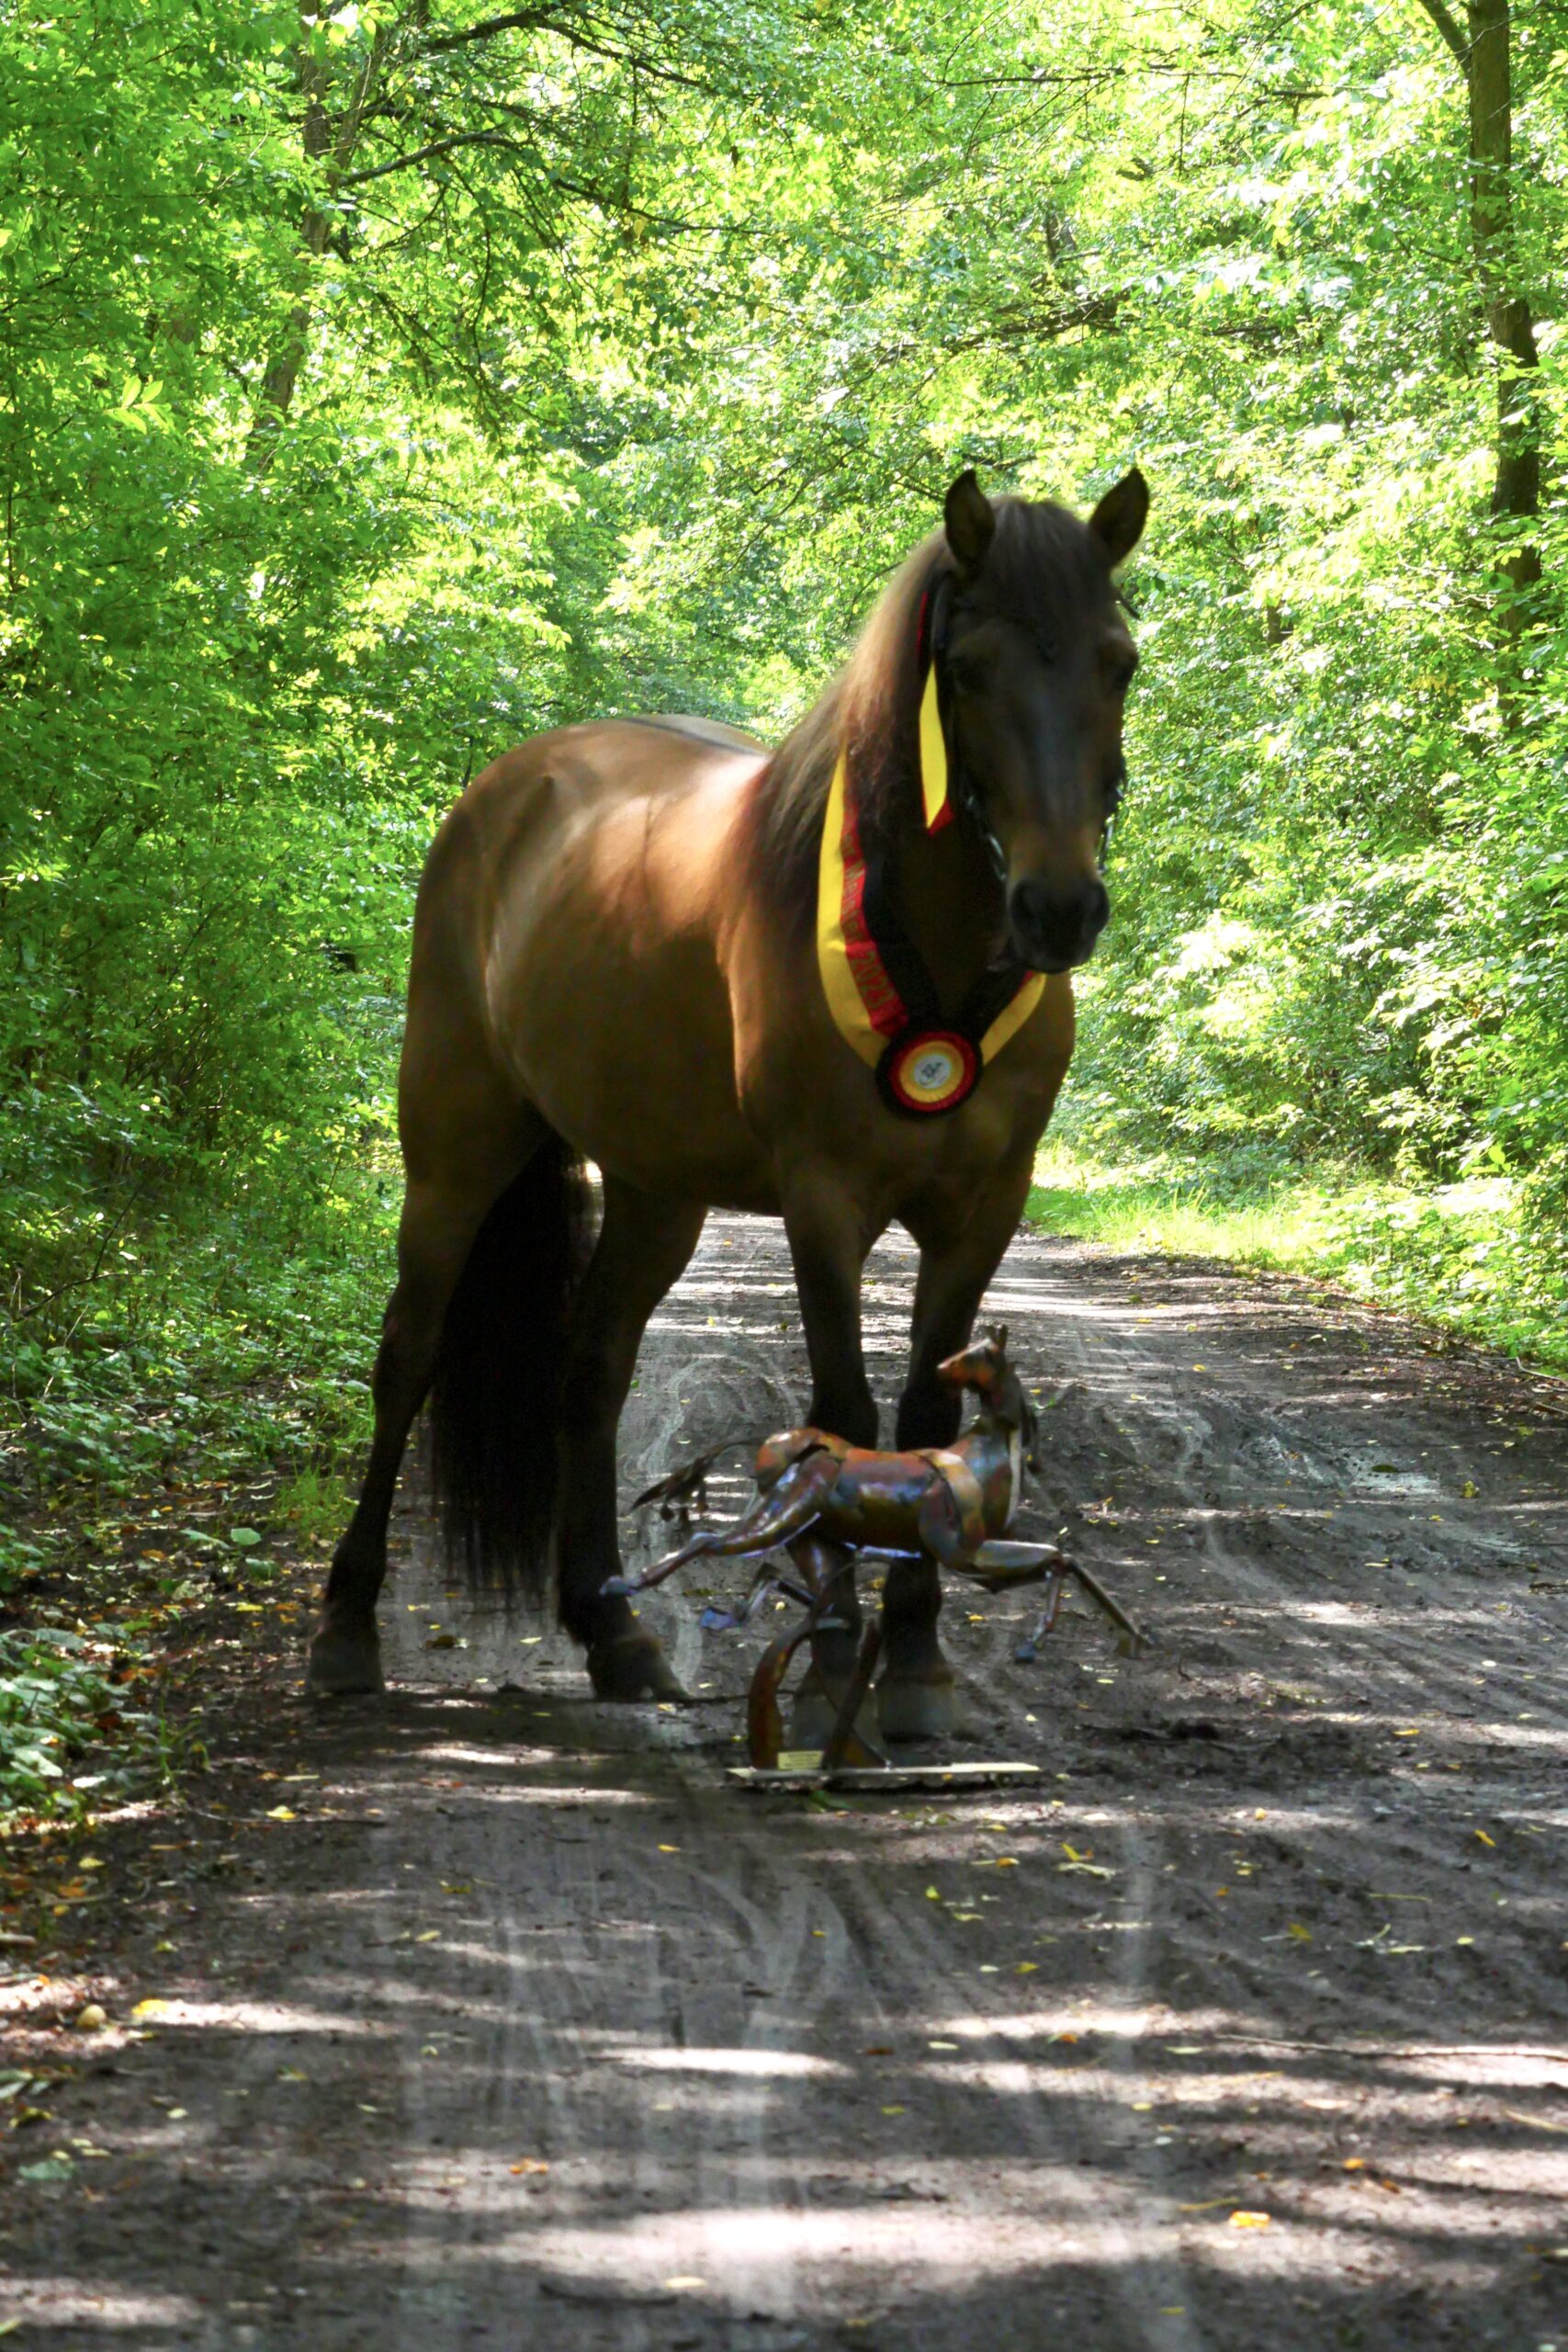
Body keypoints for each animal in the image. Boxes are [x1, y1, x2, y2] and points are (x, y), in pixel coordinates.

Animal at [307, 464, 1147, 1733]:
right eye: (970, 668)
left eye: (1119, 661)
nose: (1060, 908)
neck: (933, 954)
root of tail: (506, 789)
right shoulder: (824, 1201)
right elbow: (845, 1412)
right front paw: (841, 1651)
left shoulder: (985, 1209)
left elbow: (928, 1419)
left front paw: (916, 1661)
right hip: (457, 1144)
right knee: (408, 1353)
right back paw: (346, 1627)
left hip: (657, 1188)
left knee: (592, 1373)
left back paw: (613, 1632)